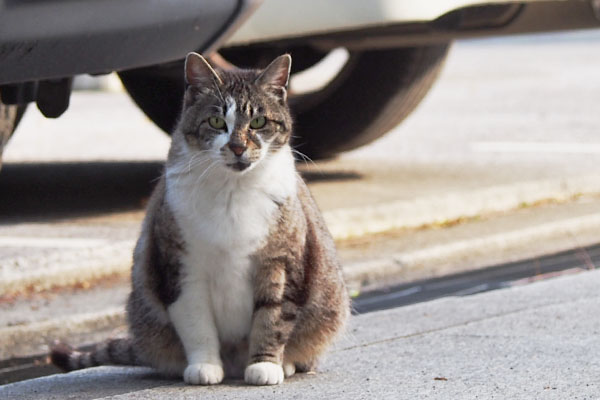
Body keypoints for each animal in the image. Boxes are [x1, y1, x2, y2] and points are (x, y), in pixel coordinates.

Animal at [52, 52, 352, 384]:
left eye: (259, 122)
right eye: (217, 122)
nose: (237, 147)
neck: (233, 189)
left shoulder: (281, 263)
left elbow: (272, 317)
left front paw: (265, 364)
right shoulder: (181, 267)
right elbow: (196, 323)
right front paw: (204, 366)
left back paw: (284, 364)